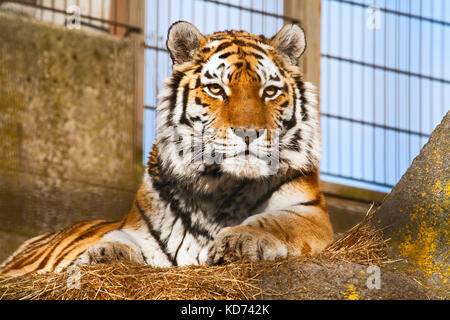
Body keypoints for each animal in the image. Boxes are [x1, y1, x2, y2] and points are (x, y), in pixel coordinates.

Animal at [0, 21, 332, 278]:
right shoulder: (142, 226)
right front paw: (106, 253)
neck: (223, 186)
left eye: (270, 91)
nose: (248, 133)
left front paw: (240, 239)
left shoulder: (310, 213)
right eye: (216, 89)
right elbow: (121, 238)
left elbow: (275, 221)